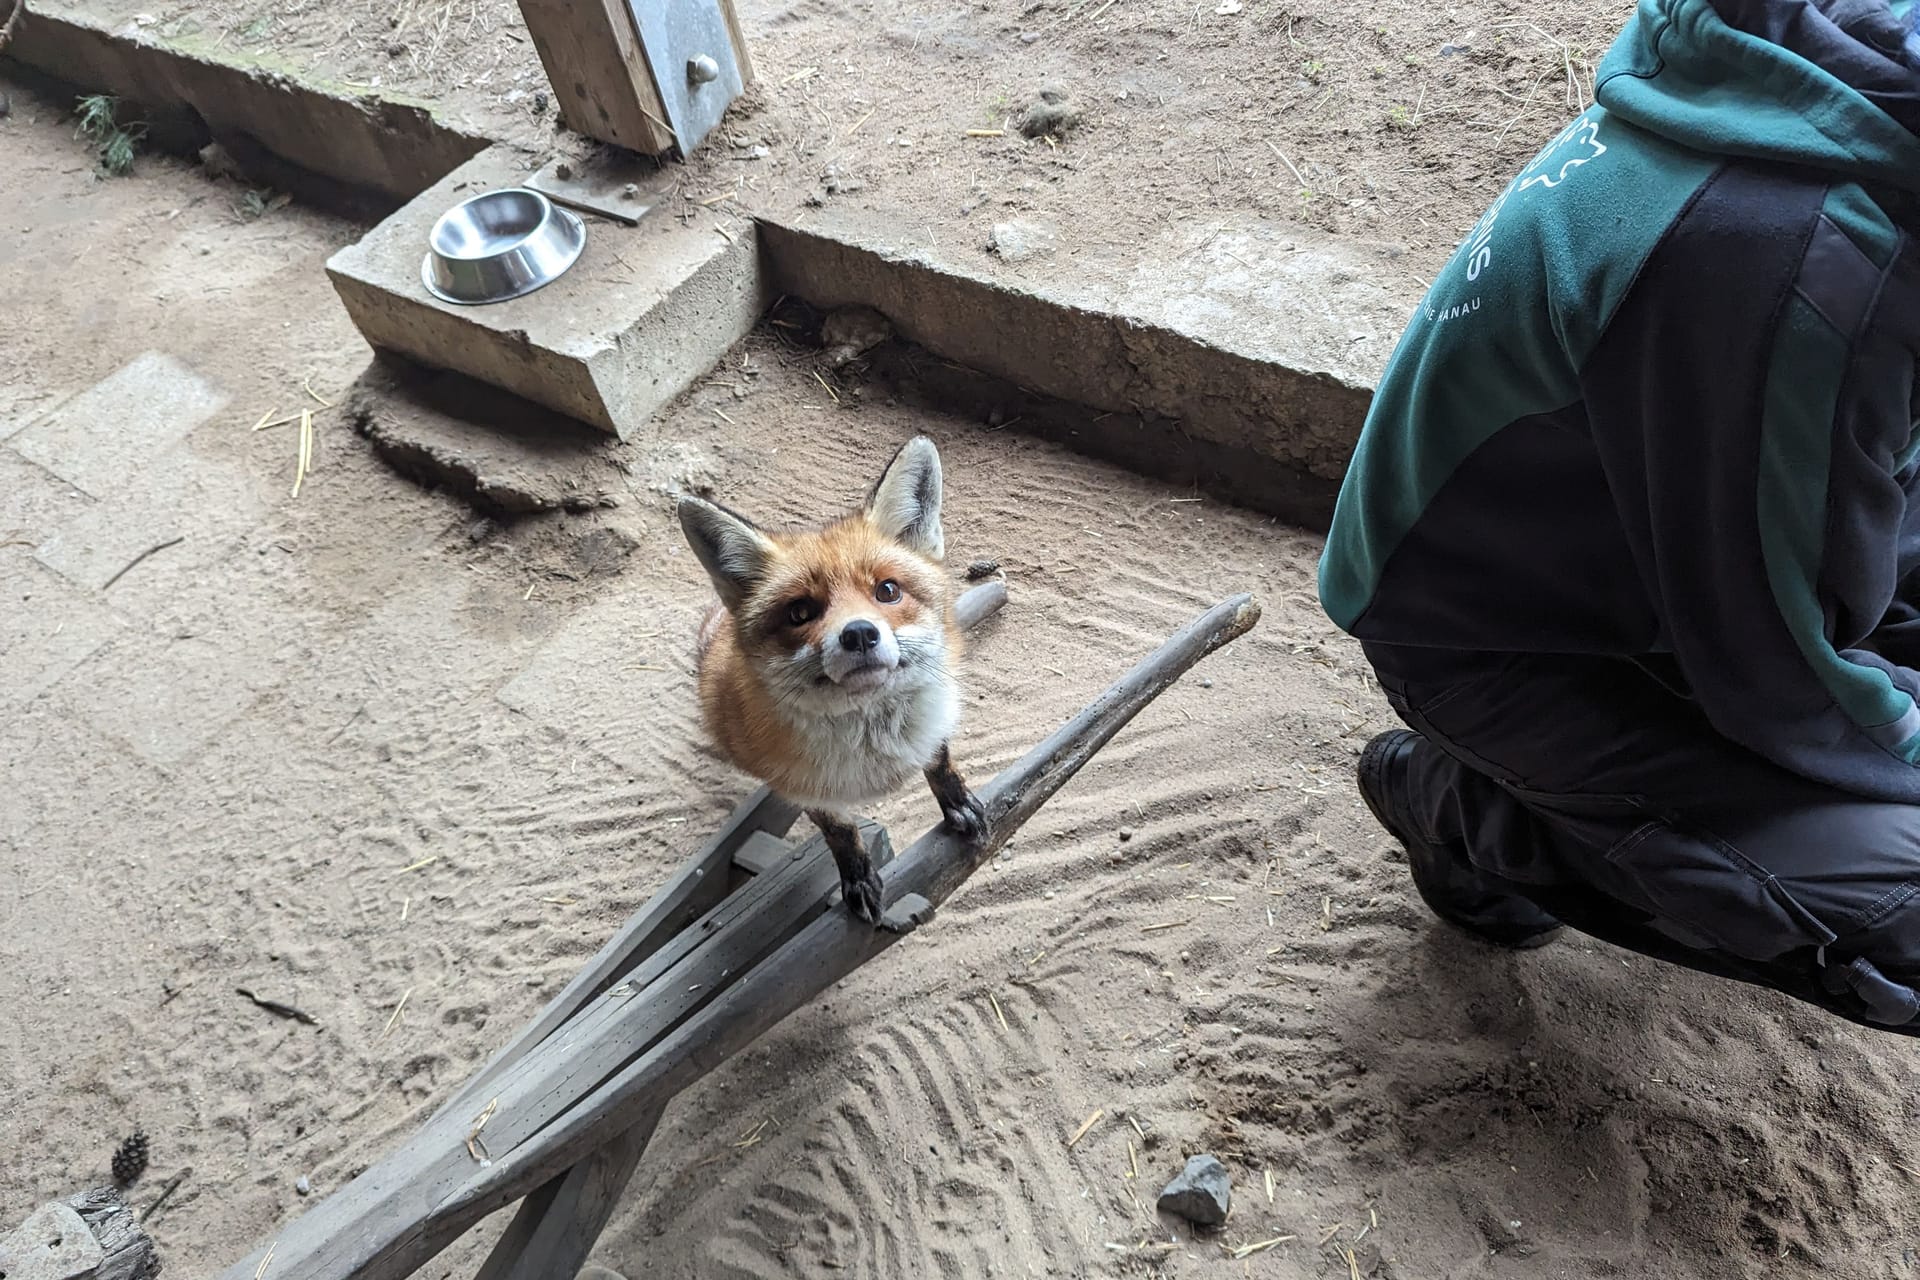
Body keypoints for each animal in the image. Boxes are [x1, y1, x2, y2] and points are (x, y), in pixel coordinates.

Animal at [679, 435, 990, 924]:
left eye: (887, 590)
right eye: (800, 613)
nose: (859, 634)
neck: (877, 749)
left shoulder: (936, 726)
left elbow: (942, 767)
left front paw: (958, 805)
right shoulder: (798, 785)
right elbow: (841, 833)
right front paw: (857, 879)